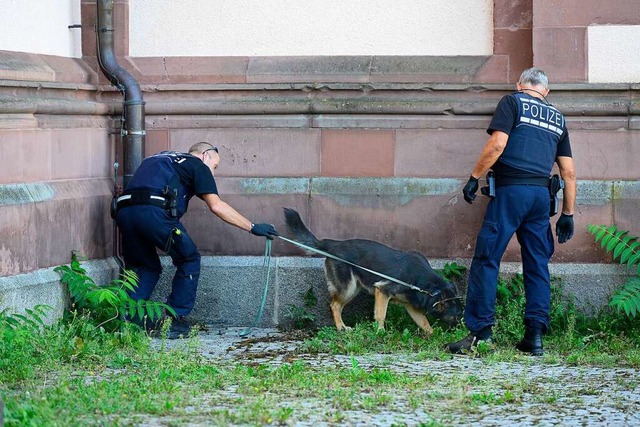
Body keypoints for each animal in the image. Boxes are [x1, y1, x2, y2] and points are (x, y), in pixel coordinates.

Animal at [284, 209, 460, 336]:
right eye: (456, 315)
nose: (460, 329)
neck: (429, 287)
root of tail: (334, 244)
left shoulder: (411, 306)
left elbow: (424, 322)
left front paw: (432, 334)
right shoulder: (382, 291)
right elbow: (381, 315)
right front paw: (380, 332)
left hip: (353, 288)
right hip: (348, 288)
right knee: (334, 305)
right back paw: (341, 327)